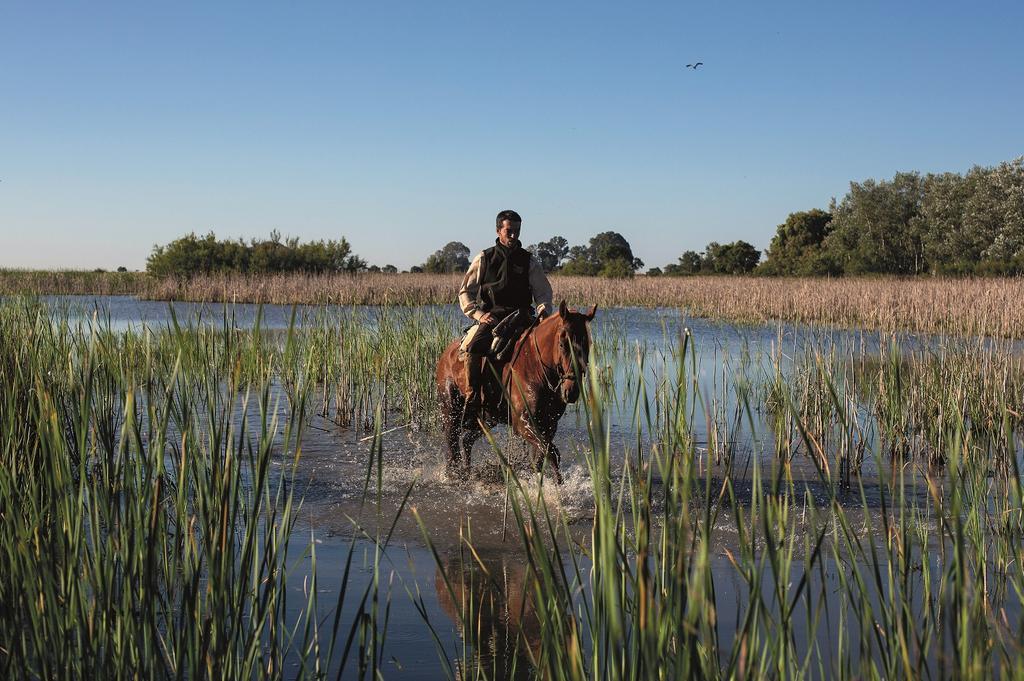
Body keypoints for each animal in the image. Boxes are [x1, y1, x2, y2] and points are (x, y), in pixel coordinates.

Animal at [436, 300, 596, 485]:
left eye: (587, 345)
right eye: (562, 344)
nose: (572, 391)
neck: (536, 366)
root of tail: (446, 354)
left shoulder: (549, 424)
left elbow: (541, 456)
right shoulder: (523, 424)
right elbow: (552, 452)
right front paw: (557, 484)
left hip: (488, 417)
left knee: (467, 440)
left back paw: (468, 472)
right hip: (451, 411)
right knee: (452, 444)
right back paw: (454, 475)